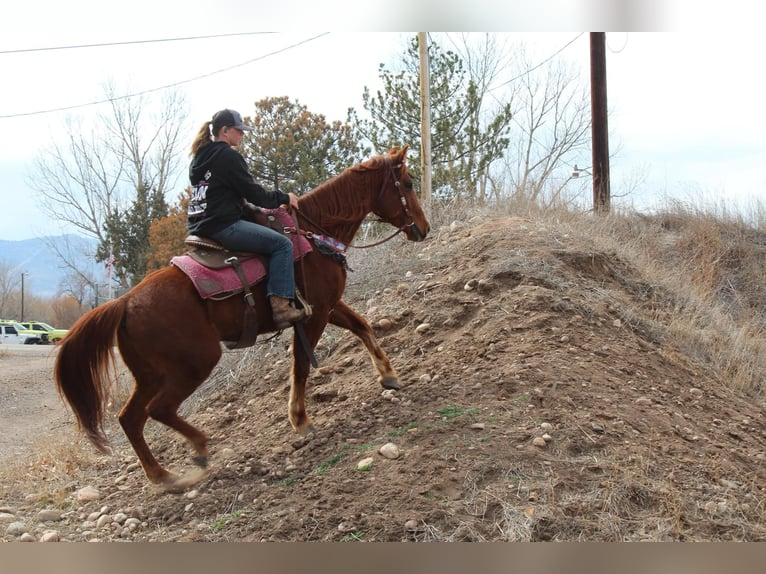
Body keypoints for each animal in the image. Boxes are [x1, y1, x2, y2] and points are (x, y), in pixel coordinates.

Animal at [54, 145, 430, 488]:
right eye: (408, 183)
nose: (423, 228)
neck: (315, 234)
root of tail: (125, 302)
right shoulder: (316, 314)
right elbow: (302, 365)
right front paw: (300, 420)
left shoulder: (328, 306)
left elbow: (362, 326)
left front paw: (389, 375)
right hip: (195, 362)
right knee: (157, 410)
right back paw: (199, 448)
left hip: (150, 374)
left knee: (130, 418)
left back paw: (162, 476)